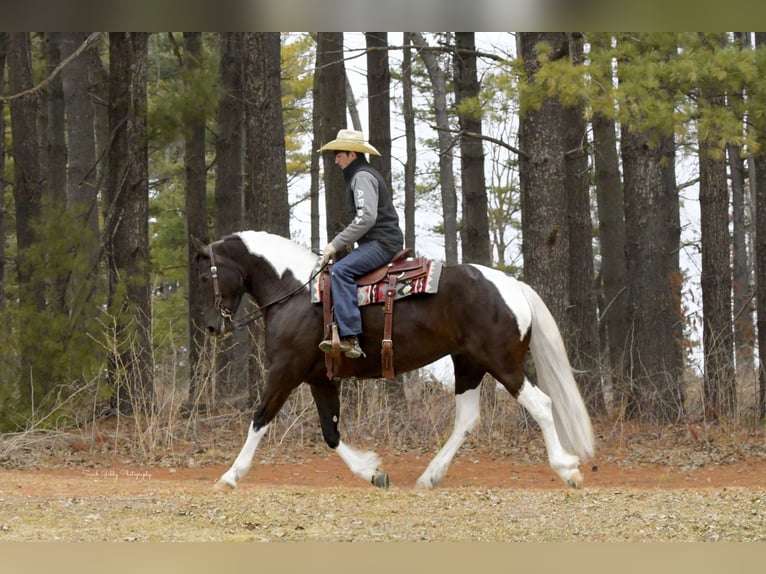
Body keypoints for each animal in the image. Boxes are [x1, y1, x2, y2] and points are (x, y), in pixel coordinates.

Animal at [191, 230, 595, 490]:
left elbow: (259, 419)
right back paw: (430, 476)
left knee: (541, 405)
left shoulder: (284, 371)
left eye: (204, 276)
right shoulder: (320, 379)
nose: (211, 325)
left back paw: (567, 469)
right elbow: (331, 433)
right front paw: (372, 472)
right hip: (469, 365)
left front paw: (230, 475)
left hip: (503, 364)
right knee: (466, 420)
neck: (296, 293)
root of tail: (513, 286)